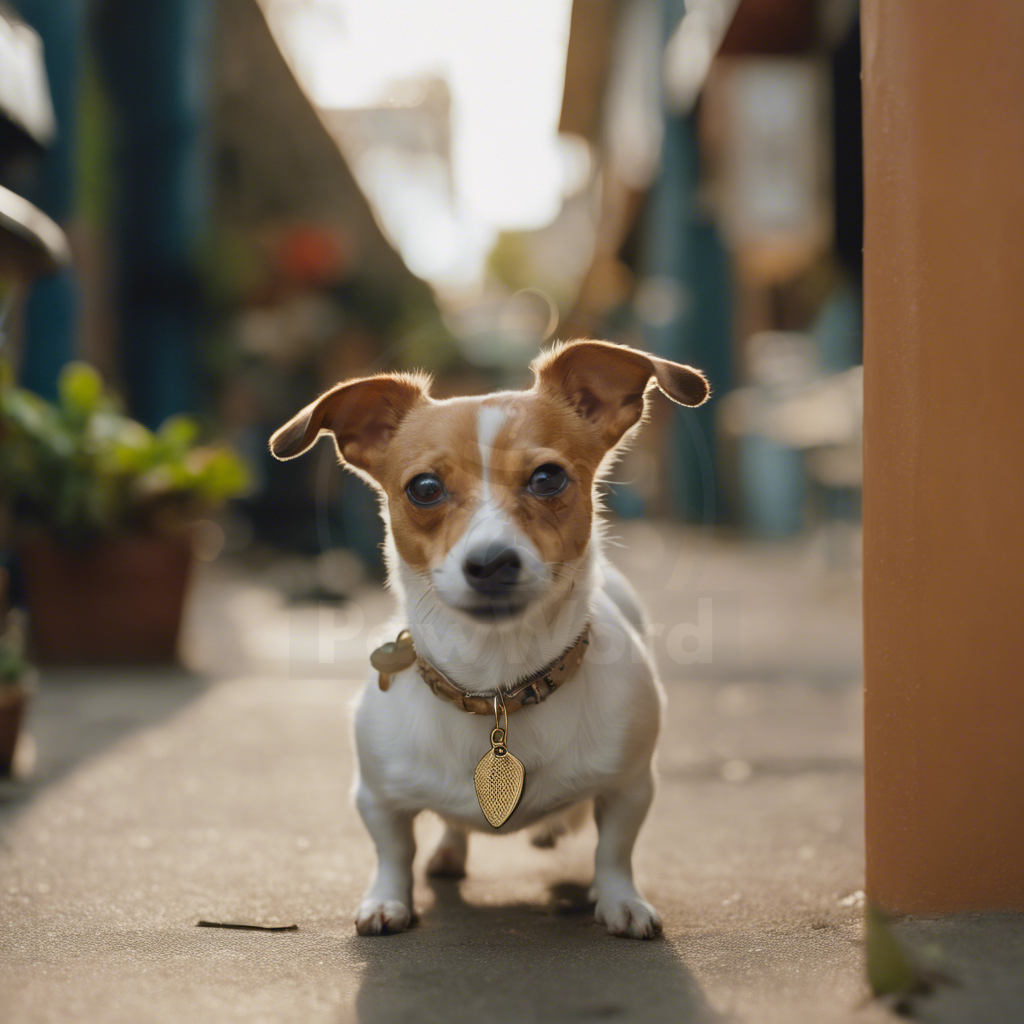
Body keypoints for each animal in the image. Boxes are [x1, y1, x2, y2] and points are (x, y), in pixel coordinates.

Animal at [268, 342, 708, 937]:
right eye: (424, 488)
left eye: (548, 478)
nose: (490, 562)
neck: (497, 683)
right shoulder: (377, 798)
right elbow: (393, 851)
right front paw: (386, 901)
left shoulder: (632, 786)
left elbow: (615, 850)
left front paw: (620, 900)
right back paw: (450, 854)